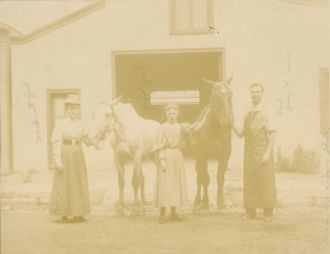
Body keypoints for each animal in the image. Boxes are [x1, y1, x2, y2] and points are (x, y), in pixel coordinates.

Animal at [192, 76, 233, 209]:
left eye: (231, 95)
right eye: (215, 96)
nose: (227, 123)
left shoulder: (225, 155)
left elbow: (220, 177)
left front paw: (221, 203)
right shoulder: (202, 155)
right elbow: (205, 179)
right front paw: (205, 203)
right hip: (198, 160)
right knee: (199, 177)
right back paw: (197, 201)